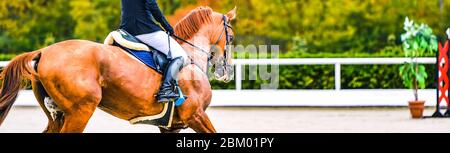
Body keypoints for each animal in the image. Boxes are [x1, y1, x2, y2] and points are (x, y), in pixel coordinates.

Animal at [0, 6, 237, 133]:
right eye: (232, 37)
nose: (225, 73)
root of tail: (44, 51)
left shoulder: (172, 126)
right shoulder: (196, 116)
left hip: (57, 116)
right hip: (80, 111)